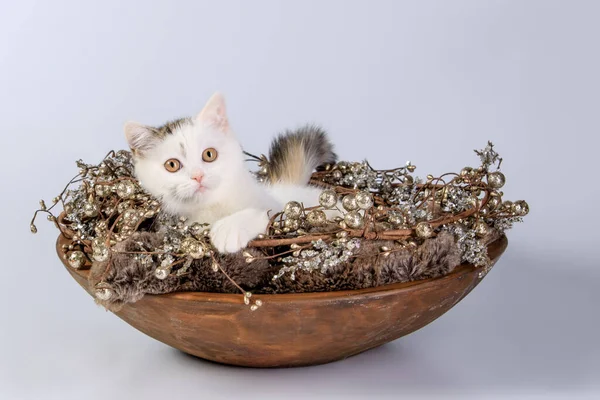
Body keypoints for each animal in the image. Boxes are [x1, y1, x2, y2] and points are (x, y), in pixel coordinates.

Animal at [125, 92, 338, 252]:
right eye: (172, 165)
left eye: (209, 154)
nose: (198, 176)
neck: (213, 208)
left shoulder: (283, 211)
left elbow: (272, 215)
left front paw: (230, 228)